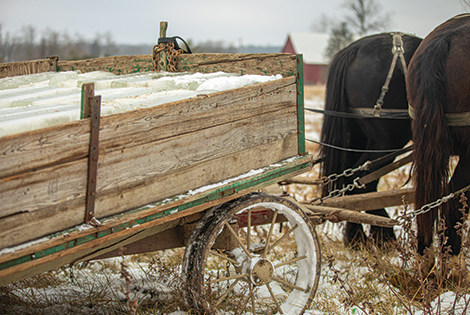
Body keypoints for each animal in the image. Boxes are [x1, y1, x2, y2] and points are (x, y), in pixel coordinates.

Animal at [320, 33, 422, 248]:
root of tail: (354, 49)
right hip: (385, 142)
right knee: (362, 181)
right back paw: (382, 237)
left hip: (358, 136)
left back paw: (357, 236)